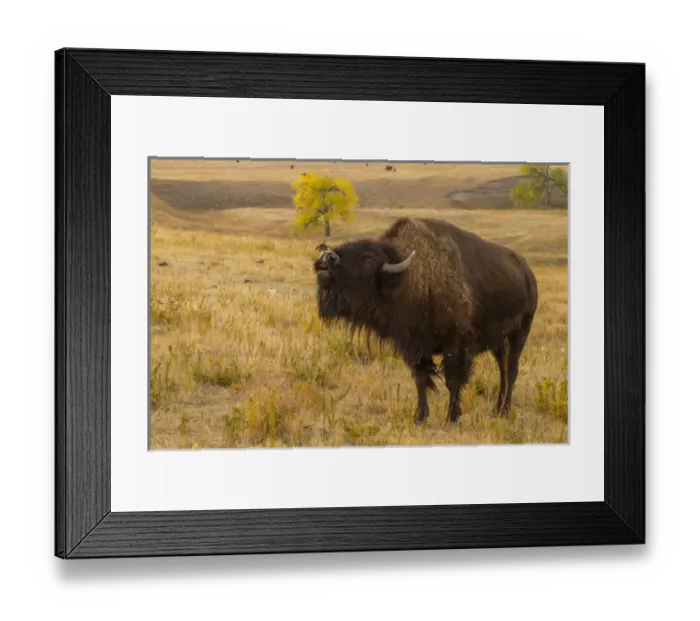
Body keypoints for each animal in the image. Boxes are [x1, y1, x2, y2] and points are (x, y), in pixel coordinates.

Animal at [313, 217, 538, 424]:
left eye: (368, 263)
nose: (327, 258)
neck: (410, 278)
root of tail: (528, 273)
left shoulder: (455, 345)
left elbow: (453, 380)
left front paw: (451, 418)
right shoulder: (414, 347)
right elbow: (421, 380)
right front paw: (420, 417)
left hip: (520, 333)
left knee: (511, 369)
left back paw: (505, 410)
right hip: (498, 342)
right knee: (502, 369)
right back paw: (497, 409)